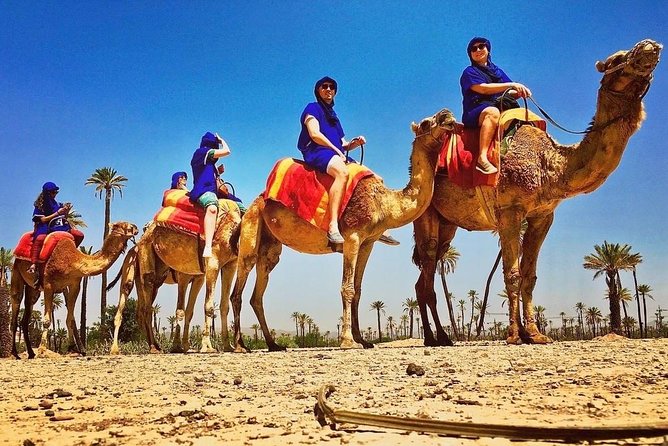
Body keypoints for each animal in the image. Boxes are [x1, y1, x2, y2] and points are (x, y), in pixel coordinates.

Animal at [10, 221, 138, 360]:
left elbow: (70, 319)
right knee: (15, 303)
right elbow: (47, 320)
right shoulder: (49, 284)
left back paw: (30, 353)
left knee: (26, 313)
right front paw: (42, 350)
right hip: (16, 270)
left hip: (33, 288)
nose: (136, 228)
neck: (72, 261)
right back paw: (15, 353)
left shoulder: (75, 285)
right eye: (127, 226)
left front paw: (72, 349)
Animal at [134, 205, 241, 352]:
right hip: (146, 259)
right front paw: (205, 346)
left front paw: (227, 346)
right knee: (147, 307)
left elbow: (220, 306)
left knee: (143, 308)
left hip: (151, 280)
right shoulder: (209, 264)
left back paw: (155, 345)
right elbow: (200, 308)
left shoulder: (228, 265)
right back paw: (154, 348)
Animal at [230, 109, 454, 352]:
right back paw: (240, 346)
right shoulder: (352, 237)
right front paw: (348, 341)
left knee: (258, 291)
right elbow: (347, 288)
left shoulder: (368, 243)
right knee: (239, 288)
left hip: (270, 246)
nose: (447, 115)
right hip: (252, 227)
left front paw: (363, 340)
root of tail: (253, 204)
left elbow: (358, 289)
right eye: (426, 122)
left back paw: (273, 344)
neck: (383, 203)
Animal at [412, 38, 664, 346]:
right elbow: (512, 274)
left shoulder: (543, 215)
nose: (650, 45)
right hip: (426, 214)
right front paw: (513, 335)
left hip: (448, 224)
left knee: (428, 271)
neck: (549, 164)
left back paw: (440, 337)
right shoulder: (509, 211)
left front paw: (534, 333)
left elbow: (529, 275)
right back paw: (435, 338)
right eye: (617, 59)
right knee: (426, 271)